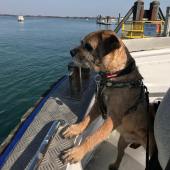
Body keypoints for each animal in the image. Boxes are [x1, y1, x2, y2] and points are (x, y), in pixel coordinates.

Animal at [61, 29, 155, 169]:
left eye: (88, 46)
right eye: (81, 42)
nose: (71, 52)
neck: (116, 75)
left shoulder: (112, 118)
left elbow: (94, 136)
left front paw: (77, 152)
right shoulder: (98, 105)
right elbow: (86, 119)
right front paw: (75, 129)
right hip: (122, 141)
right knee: (121, 154)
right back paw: (115, 165)